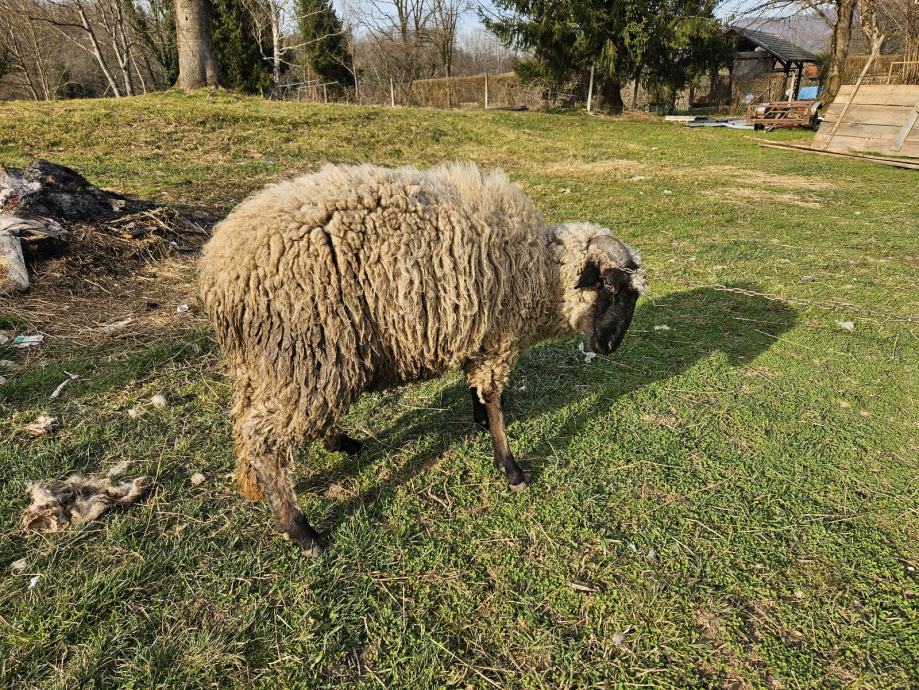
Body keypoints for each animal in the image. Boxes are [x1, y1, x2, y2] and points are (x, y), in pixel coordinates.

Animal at [198, 161, 646, 553]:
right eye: (609, 287)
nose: (610, 346)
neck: (540, 273)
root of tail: (219, 266)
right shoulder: (498, 339)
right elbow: (495, 400)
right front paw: (510, 467)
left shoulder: (480, 336)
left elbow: (477, 390)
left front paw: (479, 421)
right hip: (309, 353)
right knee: (266, 441)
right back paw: (302, 531)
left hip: (269, 363)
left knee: (248, 423)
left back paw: (302, 461)